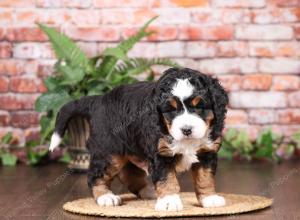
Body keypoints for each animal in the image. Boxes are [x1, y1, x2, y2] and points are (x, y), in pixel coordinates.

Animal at [49, 67, 229, 211]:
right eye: (170, 110)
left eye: (199, 107)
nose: (186, 130)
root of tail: (99, 100)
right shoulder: (161, 153)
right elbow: (167, 179)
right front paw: (169, 201)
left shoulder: (206, 152)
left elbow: (205, 177)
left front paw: (209, 198)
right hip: (109, 152)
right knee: (95, 175)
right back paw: (106, 197)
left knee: (130, 175)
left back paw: (148, 191)